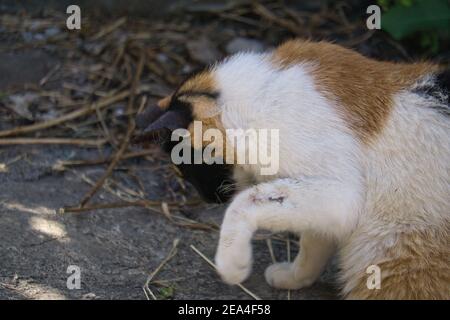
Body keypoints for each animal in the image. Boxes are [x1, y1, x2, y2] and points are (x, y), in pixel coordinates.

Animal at [134, 40, 450, 300]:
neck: (263, 95)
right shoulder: (328, 209)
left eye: (187, 169)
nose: (207, 198)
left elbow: (244, 204)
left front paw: (232, 265)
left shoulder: (342, 193)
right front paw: (295, 277)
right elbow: (313, 244)